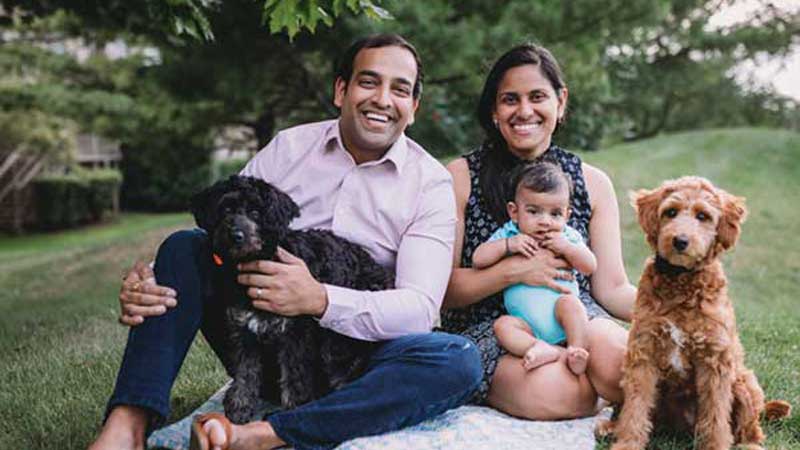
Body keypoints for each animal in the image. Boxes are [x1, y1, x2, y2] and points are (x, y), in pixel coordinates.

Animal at [194, 175, 394, 422]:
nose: (236, 236)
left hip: (336, 341)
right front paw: (240, 406)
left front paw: (294, 408)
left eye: (256, 212)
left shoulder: (295, 333)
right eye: (226, 209)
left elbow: (294, 375)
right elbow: (245, 370)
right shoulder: (243, 330)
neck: (257, 260)